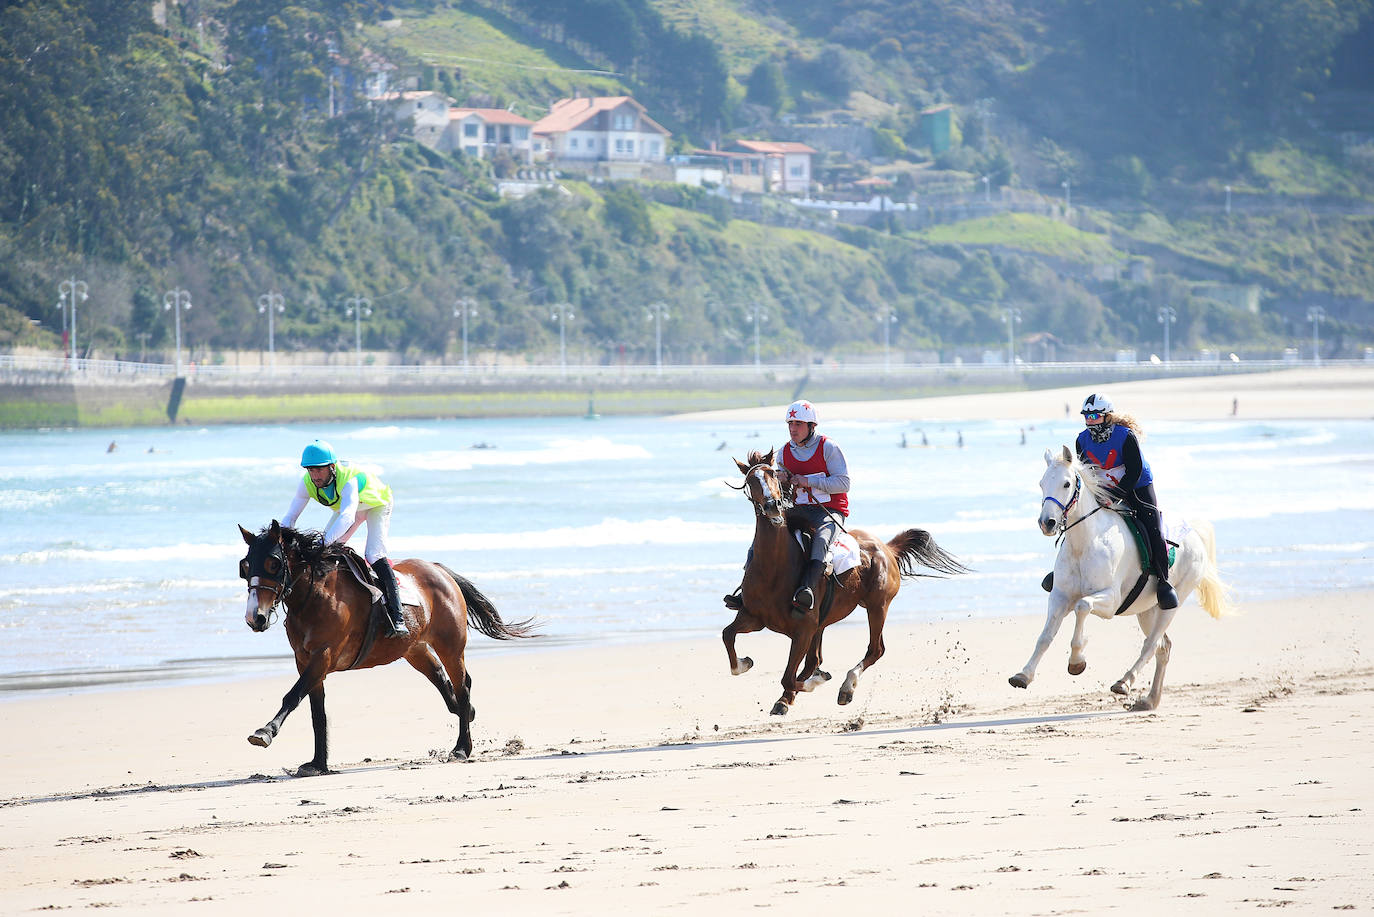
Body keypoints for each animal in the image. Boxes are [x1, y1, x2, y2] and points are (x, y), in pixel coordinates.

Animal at [239, 522, 533, 775]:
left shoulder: (324, 655)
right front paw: (318, 763)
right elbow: (316, 712)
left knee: (462, 686)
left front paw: (265, 732)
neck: (313, 596)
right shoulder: (305, 660)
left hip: (450, 645)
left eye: (274, 563)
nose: (256, 618)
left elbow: (292, 696)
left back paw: (462, 748)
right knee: (441, 677)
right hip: (414, 649)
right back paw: (467, 713)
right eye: (245, 566)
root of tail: (440, 570)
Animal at [719, 450, 967, 714]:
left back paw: (846, 687)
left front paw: (815, 682)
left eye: (773, 475)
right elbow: (728, 636)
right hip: (828, 622)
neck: (774, 569)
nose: (773, 506)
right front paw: (745, 663)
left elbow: (789, 676)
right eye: (751, 481)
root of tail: (887, 548)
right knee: (814, 660)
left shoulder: (804, 629)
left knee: (875, 650)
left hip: (877, 607)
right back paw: (792, 695)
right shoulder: (754, 617)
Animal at [1011, 445, 1236, 709]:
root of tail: (1195, 535)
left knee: (1151, 644)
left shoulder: (1110, 600)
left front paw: (1077, 661)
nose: (1047, 523)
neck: (1084, 543)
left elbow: (1082, 606)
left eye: (1067, 484)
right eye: (1042, 483)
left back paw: (1124, 682)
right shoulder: (1059, 596)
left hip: (1171, 603)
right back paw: (1149, 700)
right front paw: (1023, 675)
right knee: (1163, 647)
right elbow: (1045, 637)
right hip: (1146, 610)